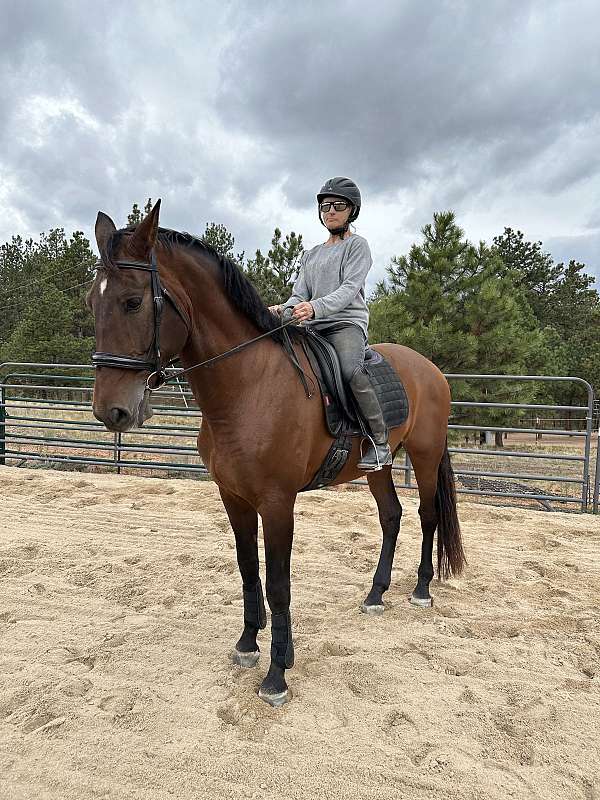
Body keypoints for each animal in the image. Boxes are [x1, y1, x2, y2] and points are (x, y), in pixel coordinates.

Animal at [87, 200, 465, 707]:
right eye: (92, 303)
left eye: (133, 301)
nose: (111, 410)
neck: (248, 385)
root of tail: (430, 368)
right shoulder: (234, 498)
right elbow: (249, 570)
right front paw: (248, 643)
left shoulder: (277, 503)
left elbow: (279, 585)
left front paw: (277, 674)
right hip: (377, 467)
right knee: (392, 516)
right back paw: (375, 594)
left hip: (423, 456)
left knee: (427, 515)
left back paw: (422, 588)